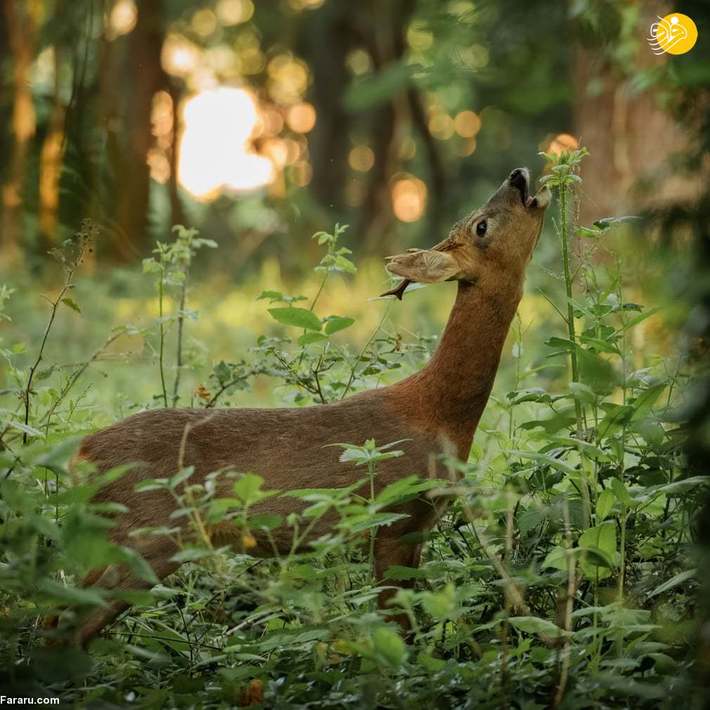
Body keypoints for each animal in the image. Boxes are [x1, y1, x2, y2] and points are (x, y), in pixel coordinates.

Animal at [58, 167, 552, 644]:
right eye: (482, 225)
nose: (517, 176)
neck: (439, 415)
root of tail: (80, 455)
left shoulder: (417, 526)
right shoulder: (392, 515)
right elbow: (398, 628)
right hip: (145, 535)